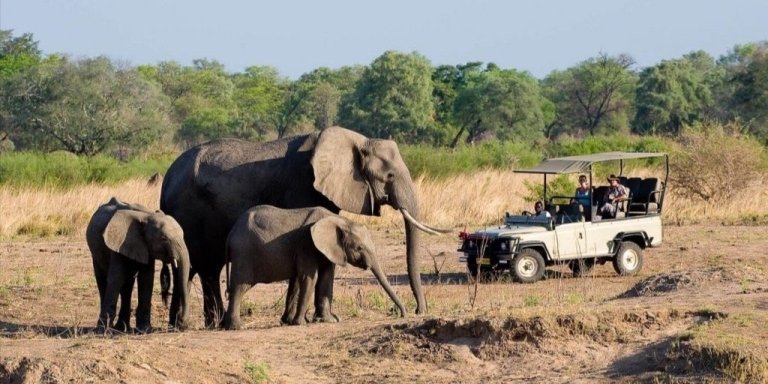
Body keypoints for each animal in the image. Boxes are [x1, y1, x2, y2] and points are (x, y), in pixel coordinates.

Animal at [85, 198, 190, 332]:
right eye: (163, 239)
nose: (182, 323)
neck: (146, 216)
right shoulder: (118, 244)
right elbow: (116, 279)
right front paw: (104, 331)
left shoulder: (145, 246)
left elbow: (146, 279)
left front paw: (145, 330)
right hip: (95, 252)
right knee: (103, 280)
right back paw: (110, 328)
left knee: (127, 285)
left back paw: (122, 328)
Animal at [224, 206, 408, 328]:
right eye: (359, 248)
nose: (400, 313)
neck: (340, 221)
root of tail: (231, 233)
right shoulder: (307, 244)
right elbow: (308, 278)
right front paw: (300, 323)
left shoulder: (329, 249)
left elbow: (324, 279)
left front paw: (327, 320)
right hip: (244, 254)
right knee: (239, 287)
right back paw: (237, 327)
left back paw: (224, 325)